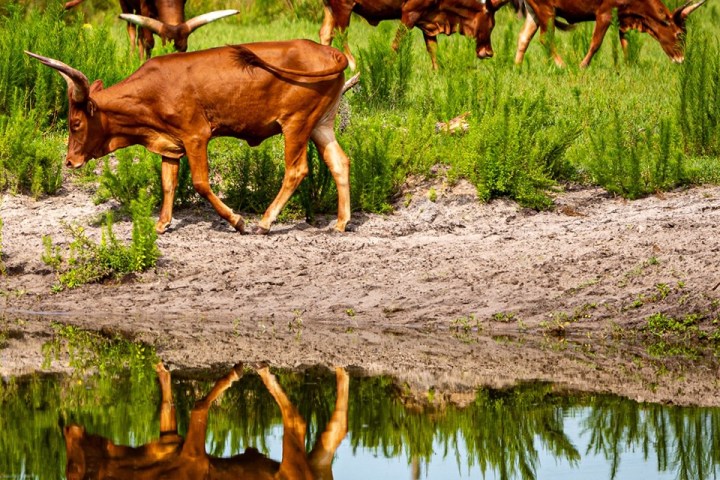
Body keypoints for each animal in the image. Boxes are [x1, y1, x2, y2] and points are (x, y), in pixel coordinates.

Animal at [26, 40, 352, 235]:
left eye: (76, 122)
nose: (70, 162)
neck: (152, 90)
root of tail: (329, 52)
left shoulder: (196, 136)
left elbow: (200, 183)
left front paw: (237, 221)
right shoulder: (171, 146)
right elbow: (168, 184)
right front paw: (161, 223)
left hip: (296, 124)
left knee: (296, 170)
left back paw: (264, 222)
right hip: (321, 124)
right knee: (340, 162)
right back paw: (341, 222)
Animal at [64, 0, 238, 60]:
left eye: (184, 49)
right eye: (166, 49)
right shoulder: (144, 7)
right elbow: (149, 42)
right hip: (127, 6)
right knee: (133, 32)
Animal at [64, 363, 350, 480]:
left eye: (73, 468)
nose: (66, 426)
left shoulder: (195, 458)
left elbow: (198, 408)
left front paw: (234, 374)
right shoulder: (170, 438)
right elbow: (166, 396)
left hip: (292, 468)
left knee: (297, 421)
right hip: (317, 465)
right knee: (334, 431)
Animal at [319, 0, 509, 70]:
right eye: (491, 25)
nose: (489, 52)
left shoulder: (428, 19)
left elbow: (433, 49)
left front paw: (437, 72)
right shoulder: (410, 12)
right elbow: (397, 44)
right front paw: (386, 67)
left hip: (330, 7)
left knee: (325, 34)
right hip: (343, 7)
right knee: (340, 35)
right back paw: (354, 66)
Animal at [514, 0, 707, 68]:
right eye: (679, 34)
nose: (681, 60)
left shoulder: (623, 18)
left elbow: (625, 42)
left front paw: (630, 65)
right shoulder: (605, 14)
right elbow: (596, 43)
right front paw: (582, 65)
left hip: (535, 11)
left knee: (524, 37)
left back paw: (517, 67)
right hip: (547, 11)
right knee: (545, 39)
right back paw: (562, 65)